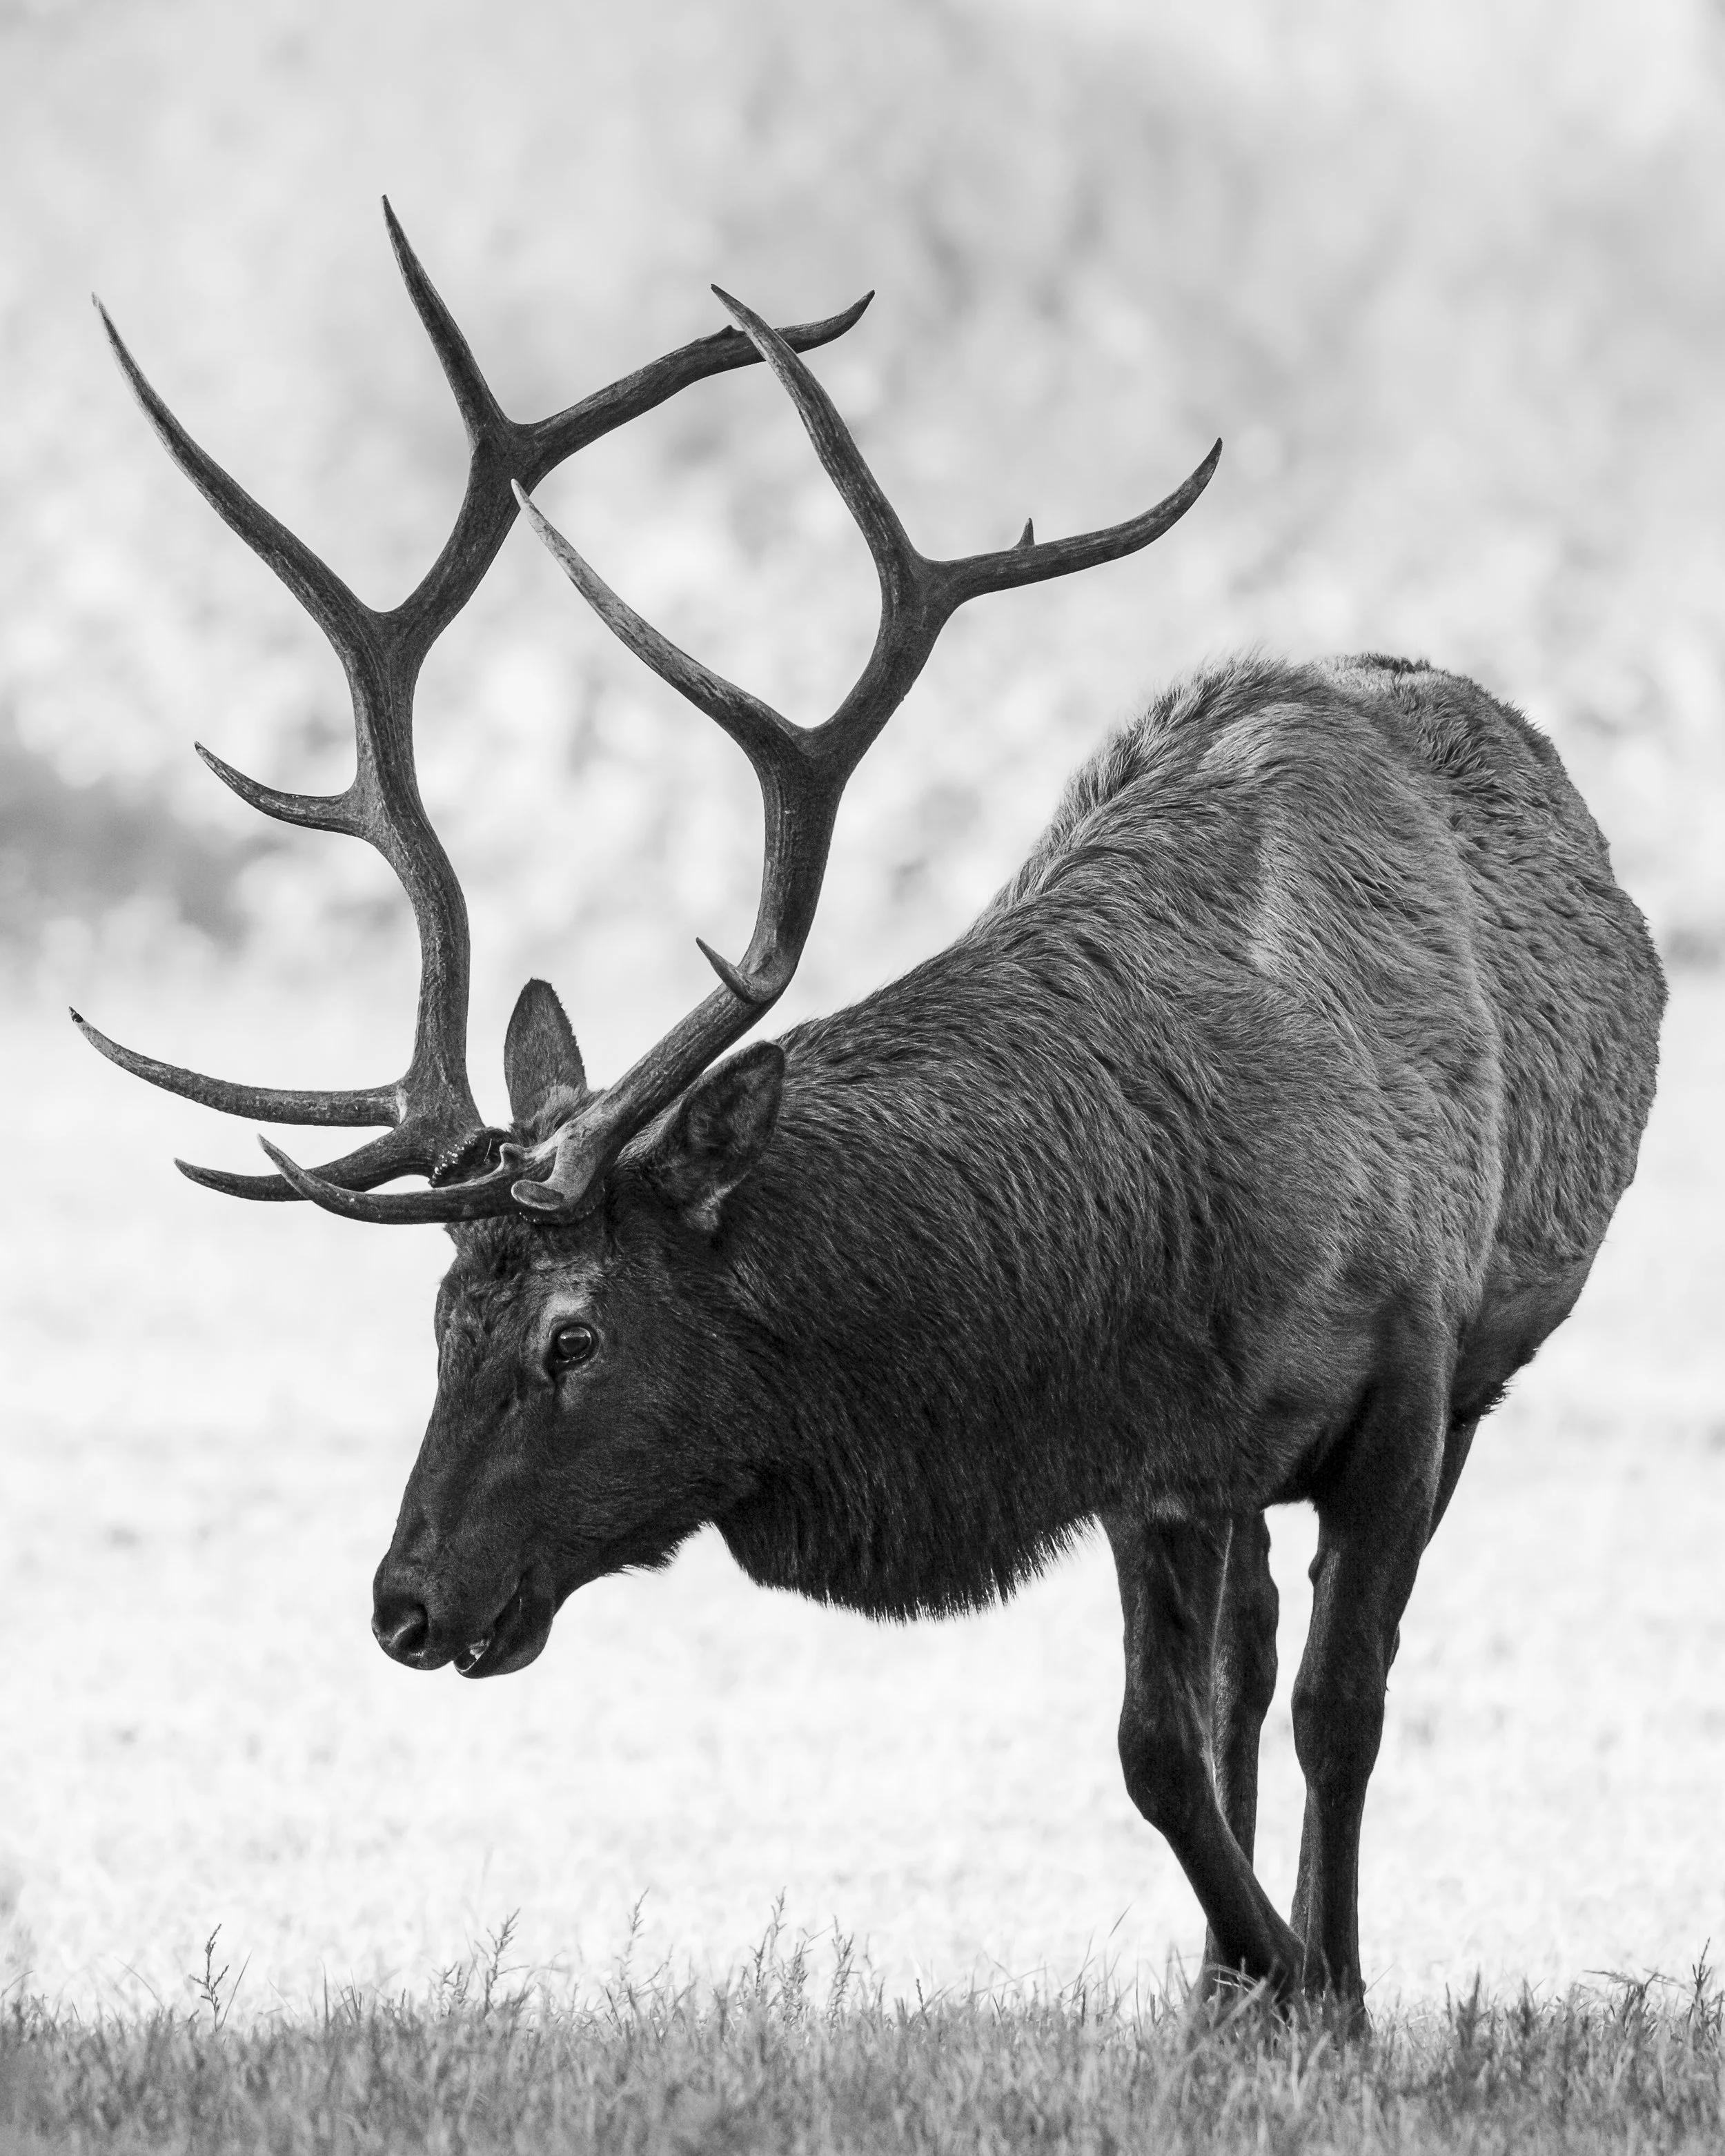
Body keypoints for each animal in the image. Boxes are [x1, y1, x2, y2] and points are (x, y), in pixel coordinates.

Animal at [77, 204, 1665, 2023]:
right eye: (435, 1316)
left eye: (573, 1333)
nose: (405, 1602)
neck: (1199, 1205)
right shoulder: (1148, 1444)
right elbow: (1160, 1743)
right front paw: (1243, 1980)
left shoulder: (1403, 1379)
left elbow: (1348, 1703)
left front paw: (1328, 1984)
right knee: (1242, 1666)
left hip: (1468, 1378)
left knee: (1318, 1673)